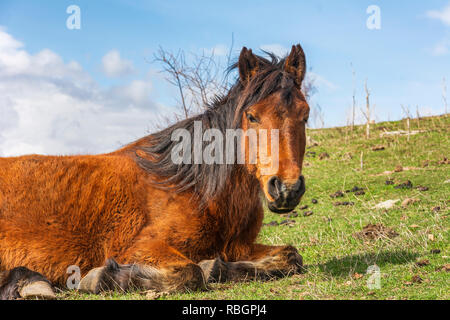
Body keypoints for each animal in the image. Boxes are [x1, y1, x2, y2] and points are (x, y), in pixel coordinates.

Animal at [0, 45, 310, 300]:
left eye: (305, 115)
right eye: (252, 116)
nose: (286, 189)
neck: (194, 188)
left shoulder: (239, 247)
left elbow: (291, 256)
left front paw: (215, 266)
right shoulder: (140, 249)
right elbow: (190, 272)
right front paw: (101, 277)